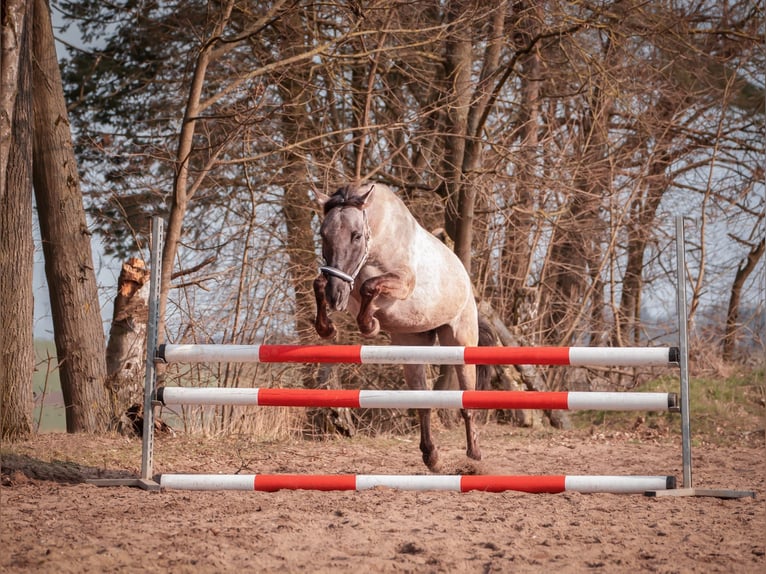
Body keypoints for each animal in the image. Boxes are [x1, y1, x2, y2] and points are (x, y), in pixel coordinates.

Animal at [310, 183, 486, 472]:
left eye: (356, 236)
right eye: (323, 234)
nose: (336, 297)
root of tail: (463, 274)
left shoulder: (403, 282)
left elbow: (370, 286)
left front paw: (370, 325)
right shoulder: (346, 286)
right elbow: (321, 283)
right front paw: (327, 329)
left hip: (460, 341)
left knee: (466, 401)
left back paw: (474, 455)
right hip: (412, 345)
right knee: (423, 402)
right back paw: (432, 457)